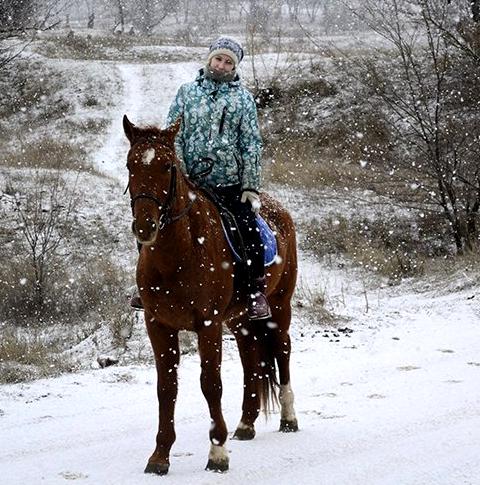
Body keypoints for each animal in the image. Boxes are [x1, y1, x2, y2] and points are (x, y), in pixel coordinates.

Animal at [122, 114, 298, 472]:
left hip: (279, 306)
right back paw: (246, 424)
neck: (176, 255)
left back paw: (288, 417)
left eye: (167, 166)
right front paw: (160, 456)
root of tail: (280, 211)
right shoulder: (157, 324)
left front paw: (217, 452)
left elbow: (210, 383)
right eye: (131, 165)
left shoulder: (208, 324)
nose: (145, 226)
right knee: (251, 357)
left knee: (282, 349)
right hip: (240, 318)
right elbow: (166, 387)